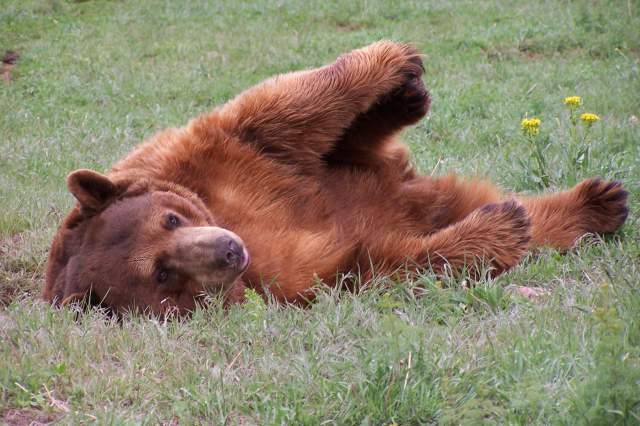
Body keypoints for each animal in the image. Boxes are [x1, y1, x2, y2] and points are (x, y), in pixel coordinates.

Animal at [44, 41, 629, 316]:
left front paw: (396, 61)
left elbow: (275, 118)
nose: (229, 249)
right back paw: (558, 210)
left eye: (170, 218)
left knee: (350, 140)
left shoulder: (198, 161)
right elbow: (374, 265)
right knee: (506, 217)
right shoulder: (288, 280)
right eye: (161, 276)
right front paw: (492, 232)